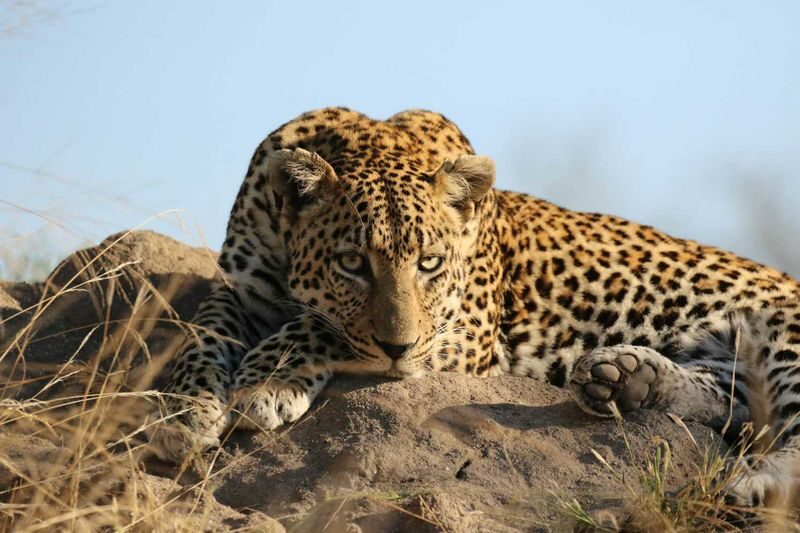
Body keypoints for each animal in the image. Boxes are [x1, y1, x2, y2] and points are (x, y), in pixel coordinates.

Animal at [148, 107, 800, 507]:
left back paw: (751, 488)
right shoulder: (240, 289)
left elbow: (319, 326)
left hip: (782, 327)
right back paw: (624, 379)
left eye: (431, 263)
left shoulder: (461, 332)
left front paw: (264, 382)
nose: (398, 346)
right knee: (737, 405)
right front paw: (182, 412)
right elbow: (202, 331)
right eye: (353, 263)